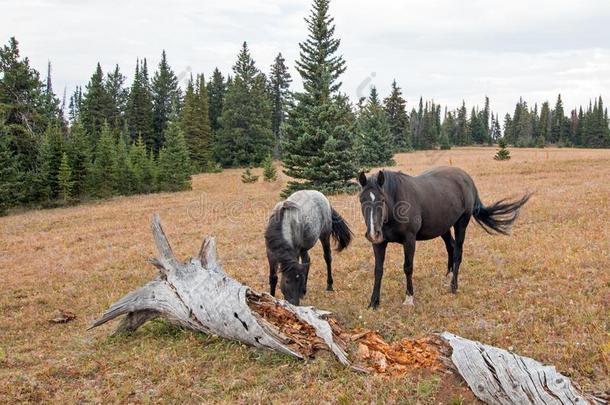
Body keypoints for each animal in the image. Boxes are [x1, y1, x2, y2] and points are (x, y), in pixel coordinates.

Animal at [356, 166, 528, 308]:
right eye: (362, 199)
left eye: (382, 199)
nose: (373, 233)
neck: (396, 205)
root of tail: (467, 179)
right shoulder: (379, 243)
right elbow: (378, 270)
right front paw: (374, 302)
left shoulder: (409, 240)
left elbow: (408, 267)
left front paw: (409, 298)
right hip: (443, 227)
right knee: (450, 247)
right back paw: (449, 276)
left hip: (461, 223)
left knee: (458, 251)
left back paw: (454, 286)